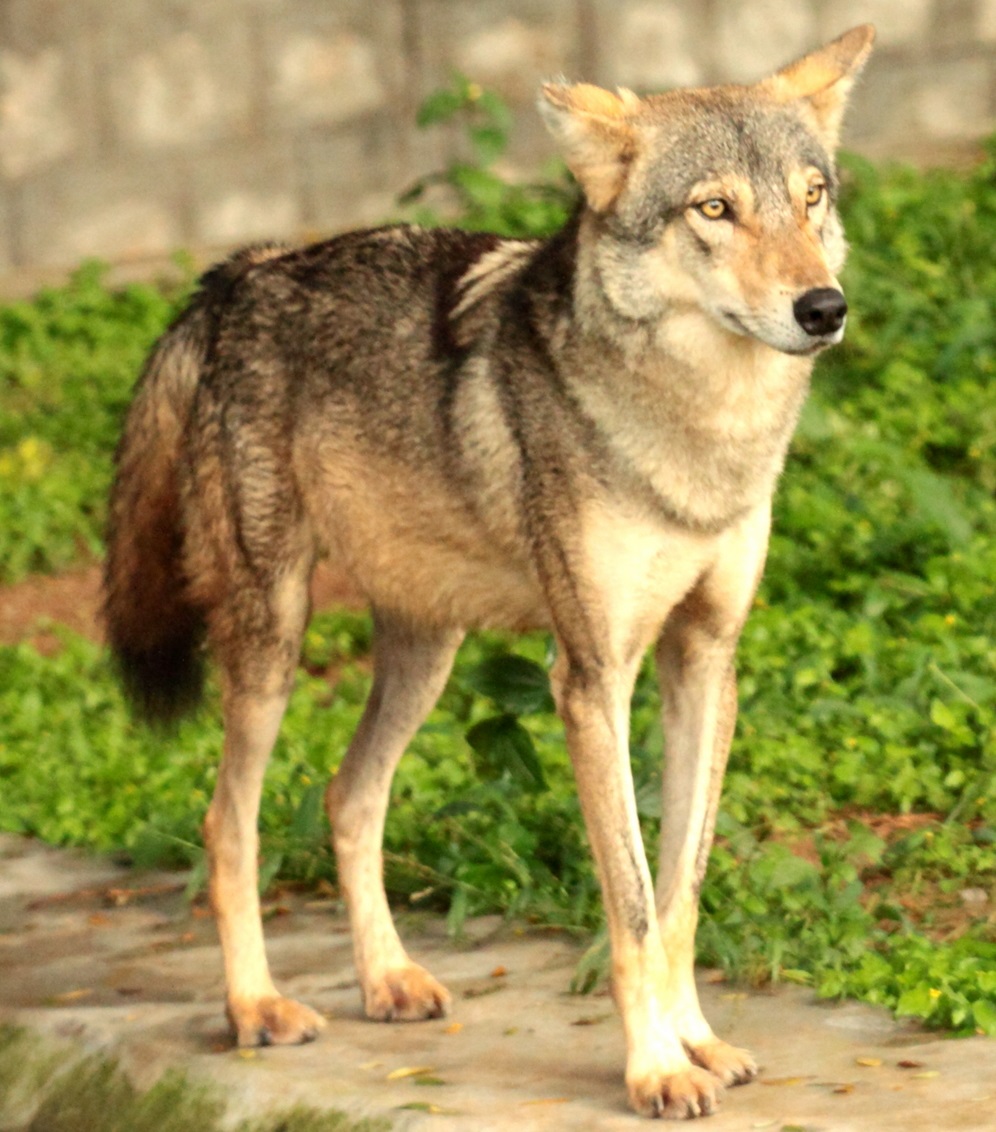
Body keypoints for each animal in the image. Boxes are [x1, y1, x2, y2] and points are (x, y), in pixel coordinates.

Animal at [102, 22, 869, 1118]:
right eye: (714, 209)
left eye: (811, 196)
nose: (823, 307)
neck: (699, 437)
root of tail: (237, 274)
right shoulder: (591, 680)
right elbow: (633, 904)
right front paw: (653, 1069)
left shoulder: (706, 662)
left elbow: (681, 890)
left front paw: (699, 1042)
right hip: (272, 642)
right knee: (226, 823)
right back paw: (255, 1007)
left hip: (428, 652)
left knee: (348, 796)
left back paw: (387, 979)